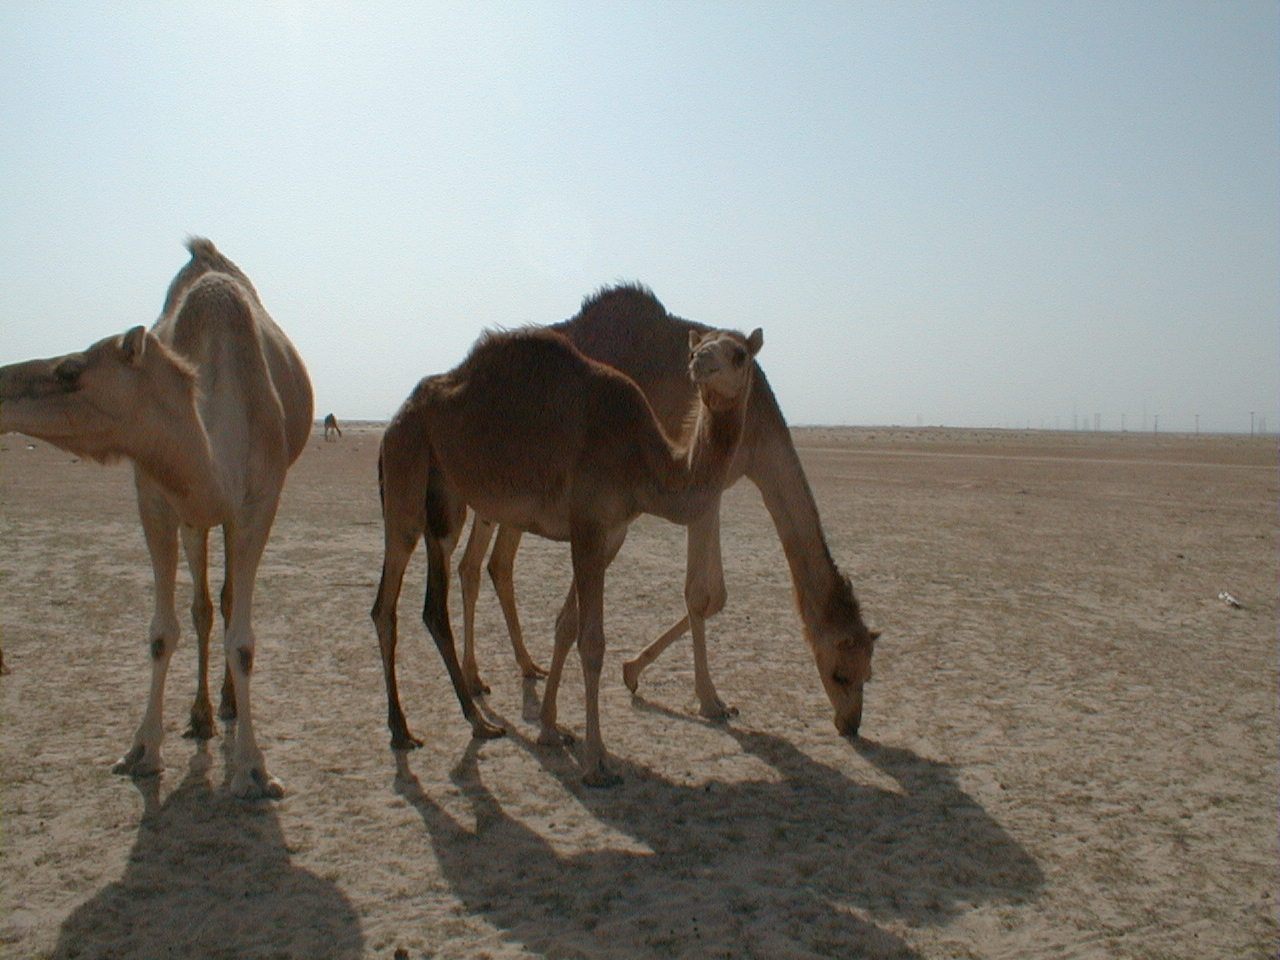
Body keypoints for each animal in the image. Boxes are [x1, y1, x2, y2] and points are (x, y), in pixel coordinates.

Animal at [0, 238, 313, 799]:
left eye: (69, 370)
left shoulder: (259, 504)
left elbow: (245, 640)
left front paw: (255, 770)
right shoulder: (159, 500)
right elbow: (163, 631)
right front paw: (142, 750)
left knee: (225, 602)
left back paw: (227, 707)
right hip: (194, 520)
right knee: (205, 607)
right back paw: (202, 715)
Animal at [371, 322, 762, 786]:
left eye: (739, 354)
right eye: (697, 348)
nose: (700, 362)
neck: (641, 459)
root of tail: (395, 419)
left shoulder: (610, 536)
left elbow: (566, 624)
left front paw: (552, 728)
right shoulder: (588, 524)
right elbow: (592, 642)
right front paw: (597, 762)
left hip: (446, 494)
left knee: (403, 604)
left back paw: (419, 724)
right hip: (407, 474)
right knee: (413, 598)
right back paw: (458, 723)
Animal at [458, 285, 878, 736]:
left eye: (869, 673)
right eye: (841, 673)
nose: (850, 724)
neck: (756, 430)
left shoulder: (711, 488)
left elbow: (718, 596)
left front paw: (637, 672)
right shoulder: (692, 490)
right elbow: (701, 594)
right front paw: (706, 699)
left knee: (494, 564)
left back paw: (522, 666)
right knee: (473, 565)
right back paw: (476, 679)